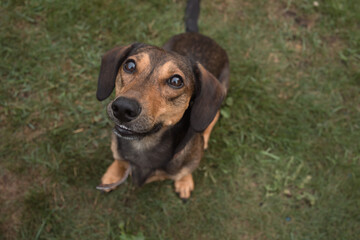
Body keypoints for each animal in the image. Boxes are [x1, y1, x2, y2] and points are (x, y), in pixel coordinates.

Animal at [95, 0, 229, 199]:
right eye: (129, 65)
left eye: (176, 81)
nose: (123, 108)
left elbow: (185, 170)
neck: (143, 146)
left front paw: (184, 181)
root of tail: (198, 34)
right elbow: (119, 160)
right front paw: (113, 175)